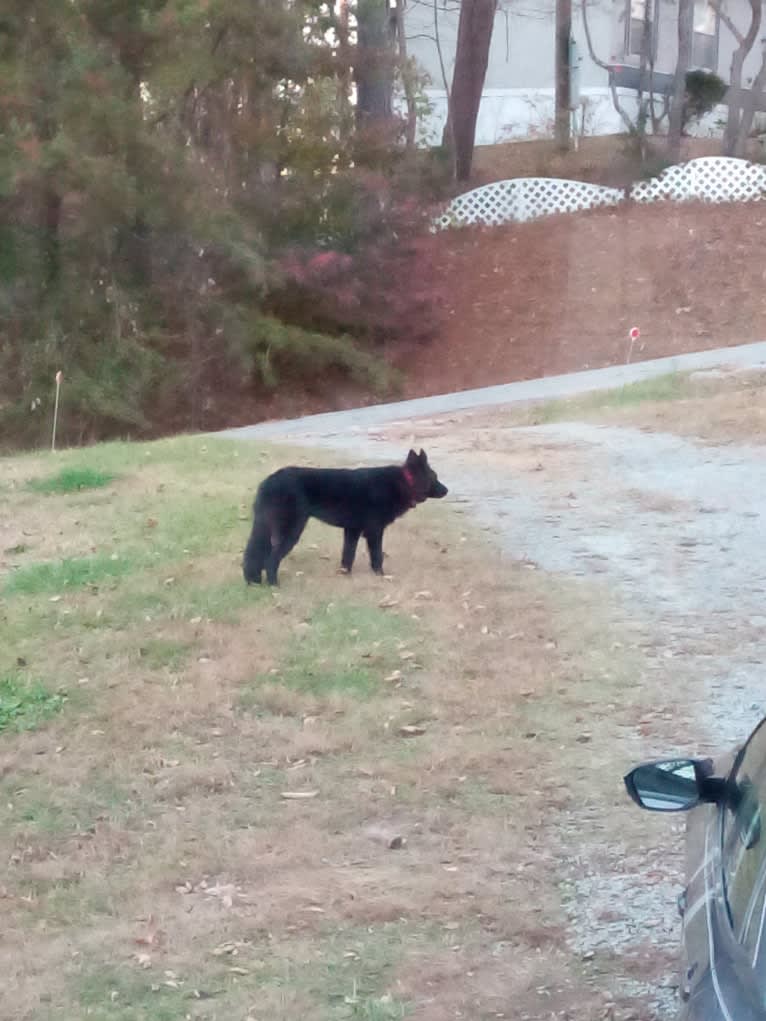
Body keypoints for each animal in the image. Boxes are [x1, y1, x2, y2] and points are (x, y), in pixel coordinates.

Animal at [244, 451, 449, 588]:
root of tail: (268, 482)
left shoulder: (352, 530)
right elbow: (377, 556)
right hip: (291, 532)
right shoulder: (374, 532)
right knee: (270, 560)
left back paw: (254, 581)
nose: (447, 490)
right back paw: (274, 586)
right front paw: (381, 576)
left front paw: (344, 575)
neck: (403, 482)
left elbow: (348, 555)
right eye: (435, 477)